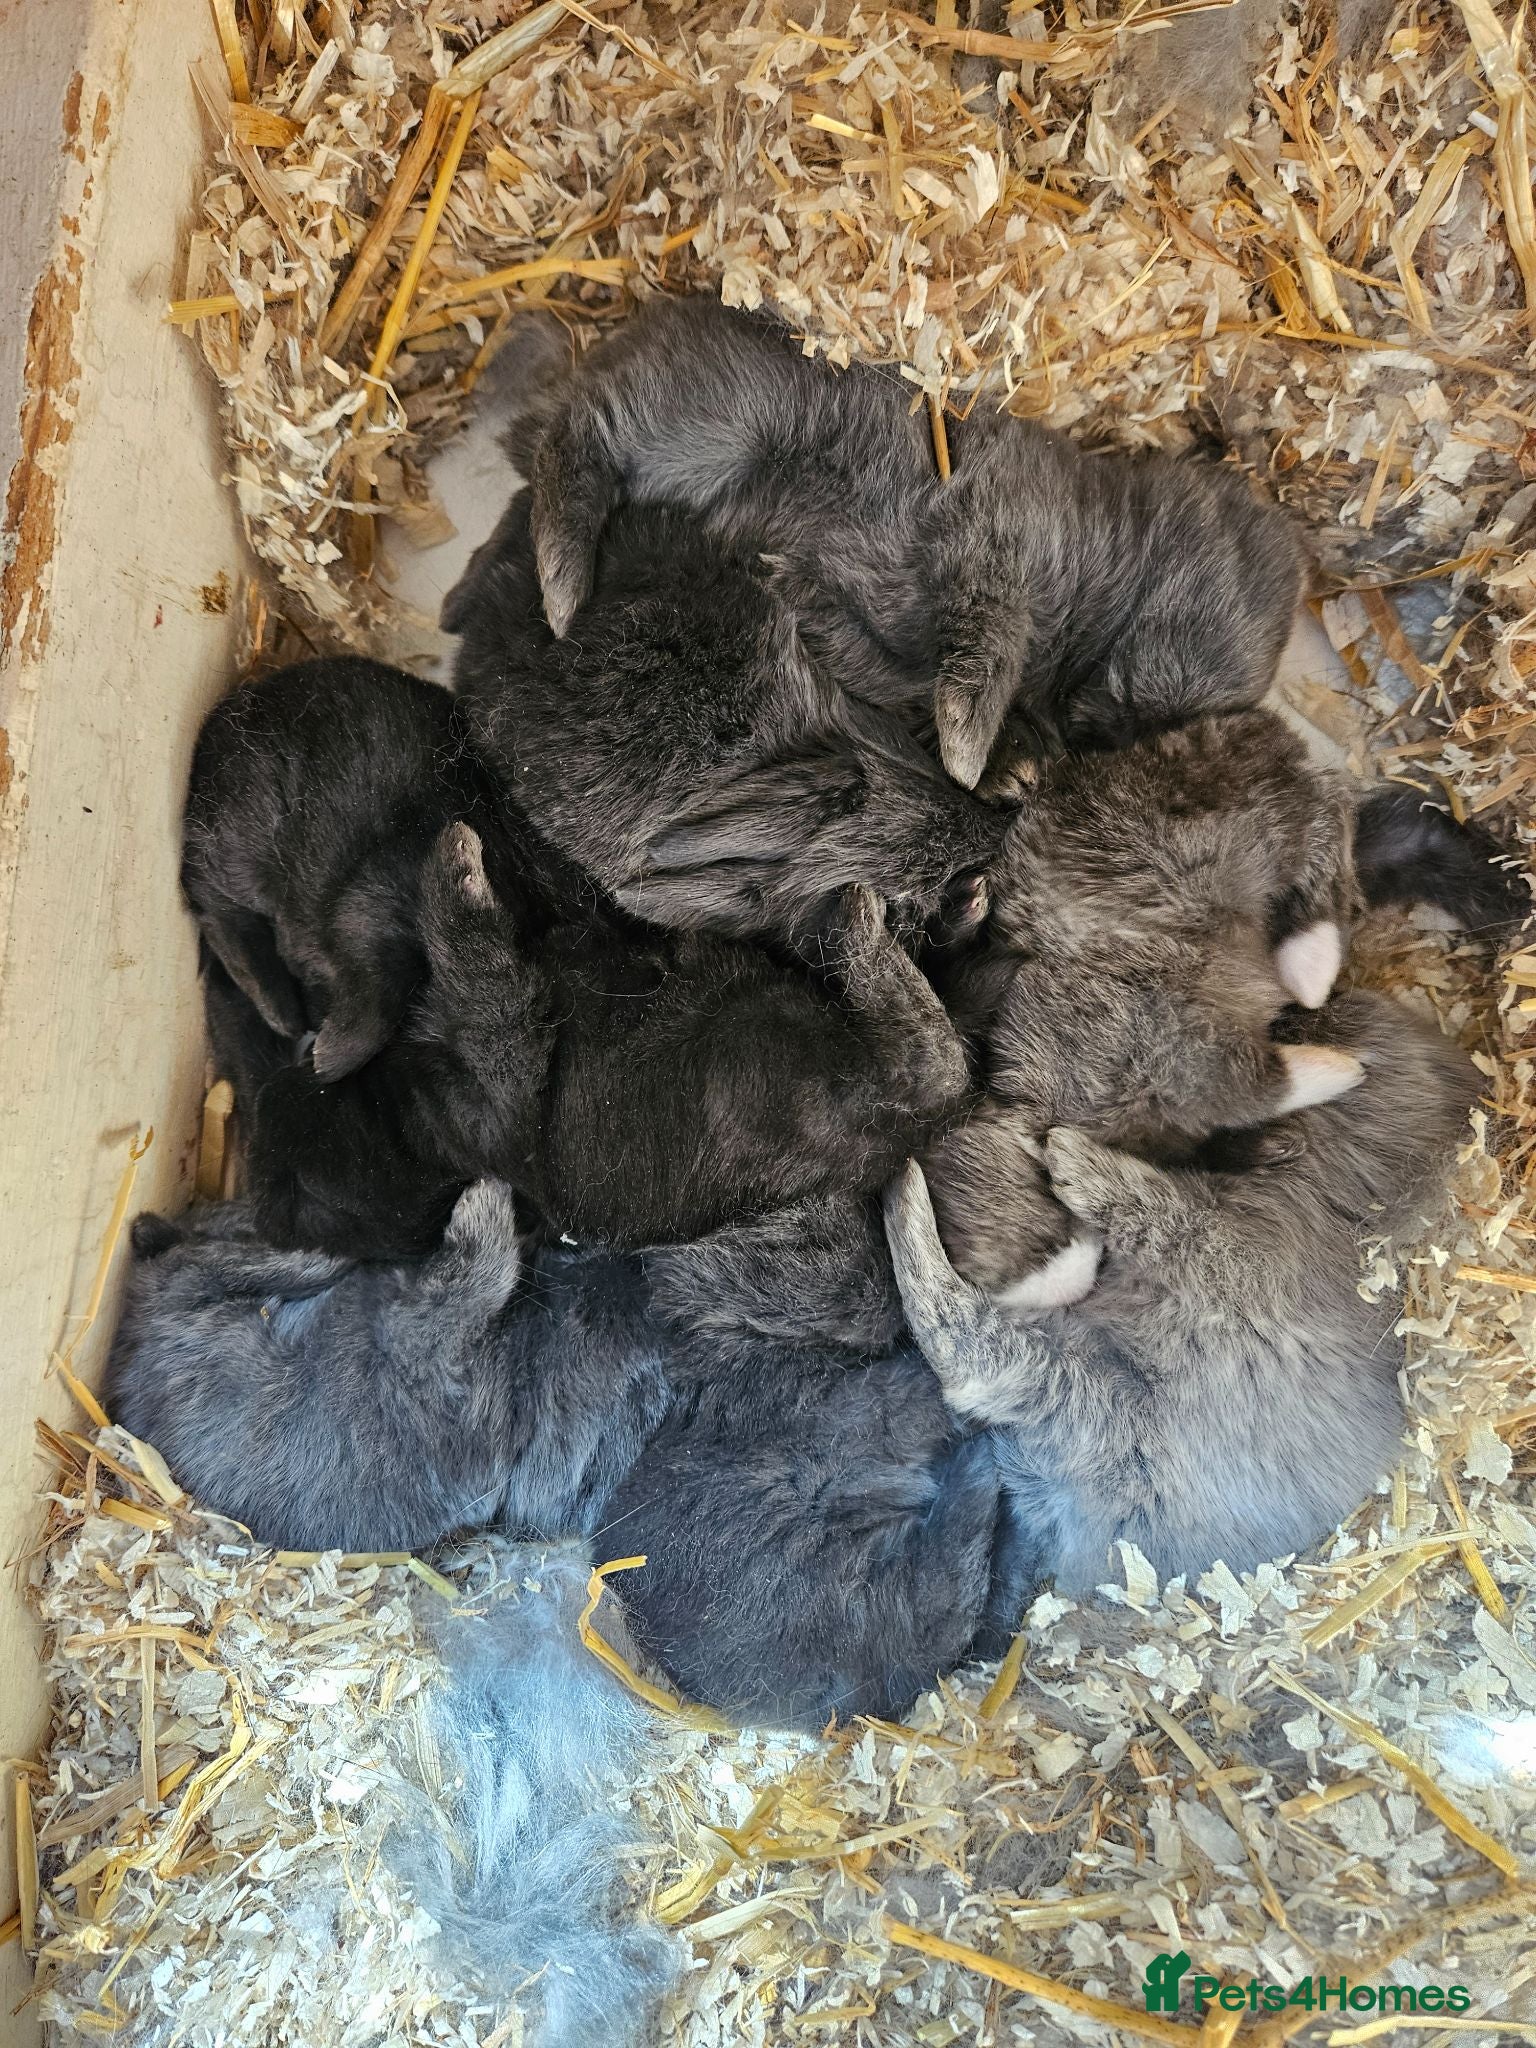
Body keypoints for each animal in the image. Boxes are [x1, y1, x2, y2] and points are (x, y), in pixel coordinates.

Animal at [105, 1182, 670, 1554]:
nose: (617, 1264)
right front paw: (489, 1195)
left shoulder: (425, 1345)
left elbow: (462, 1278)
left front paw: (483, 1201)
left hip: (199, 1288)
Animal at [488, 295, 1303, 791]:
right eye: (1139, 702)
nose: (1083, 737)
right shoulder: (997, 547)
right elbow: (986, 651)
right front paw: (976, 755)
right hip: (711, 420)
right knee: (577, 440)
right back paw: (562, 585)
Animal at [889, 989, 1481, 1594]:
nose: (1308, 1011)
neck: (1345, 1186)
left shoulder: (1229, 1253)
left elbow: (1158, 1215)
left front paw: (1072, 1159)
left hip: (1086, 1401)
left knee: (964, 1346)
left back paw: (905, 1193)